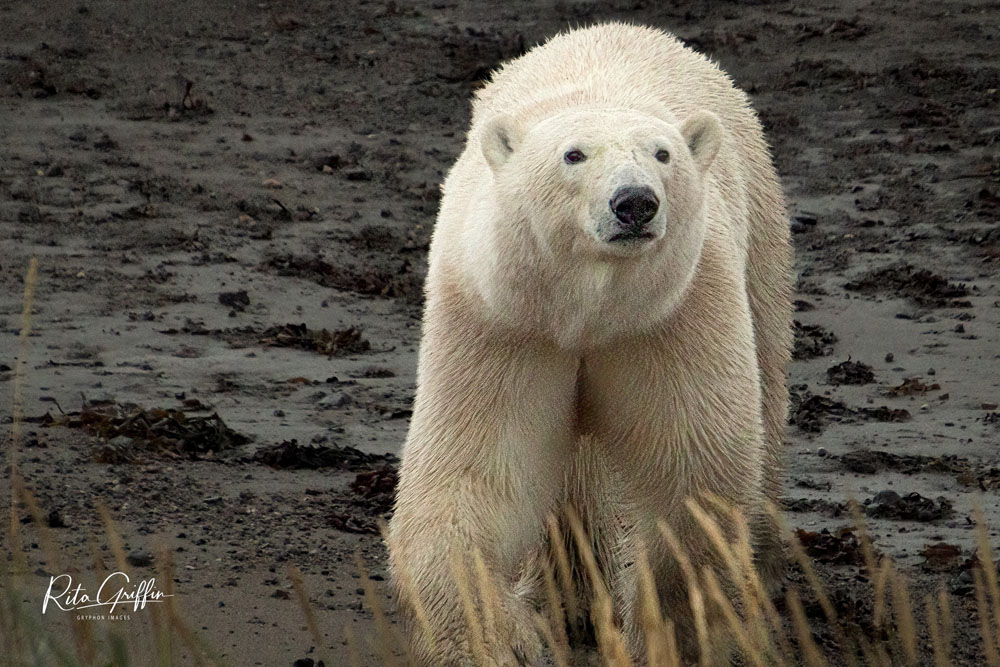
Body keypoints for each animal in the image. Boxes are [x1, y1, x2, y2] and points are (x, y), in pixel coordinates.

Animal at [386, 20, 792, 667]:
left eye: (662, 153)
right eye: (573, 154)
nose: (635, 203)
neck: (587, 312)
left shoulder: (674, 315)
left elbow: (687, 475)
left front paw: (672, 629)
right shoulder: (501, 318)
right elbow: (480, 474)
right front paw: (496, 639)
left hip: (760, 237)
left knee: (770, 379)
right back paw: (563, 592)